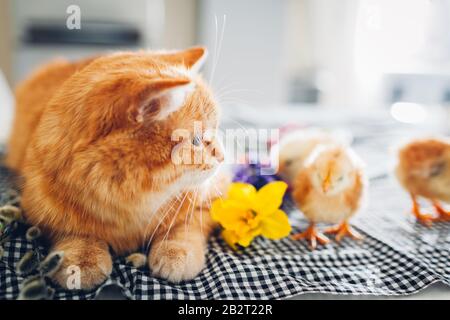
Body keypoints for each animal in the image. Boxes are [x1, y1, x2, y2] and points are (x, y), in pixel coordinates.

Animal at [5, 47, 227, 290]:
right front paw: (82, 256)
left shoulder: (214, 196)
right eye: (196, 140)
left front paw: (176, 250)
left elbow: (186, 225)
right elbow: (70, 230)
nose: (223, 156)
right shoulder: (38, 206)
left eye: (216, 128)